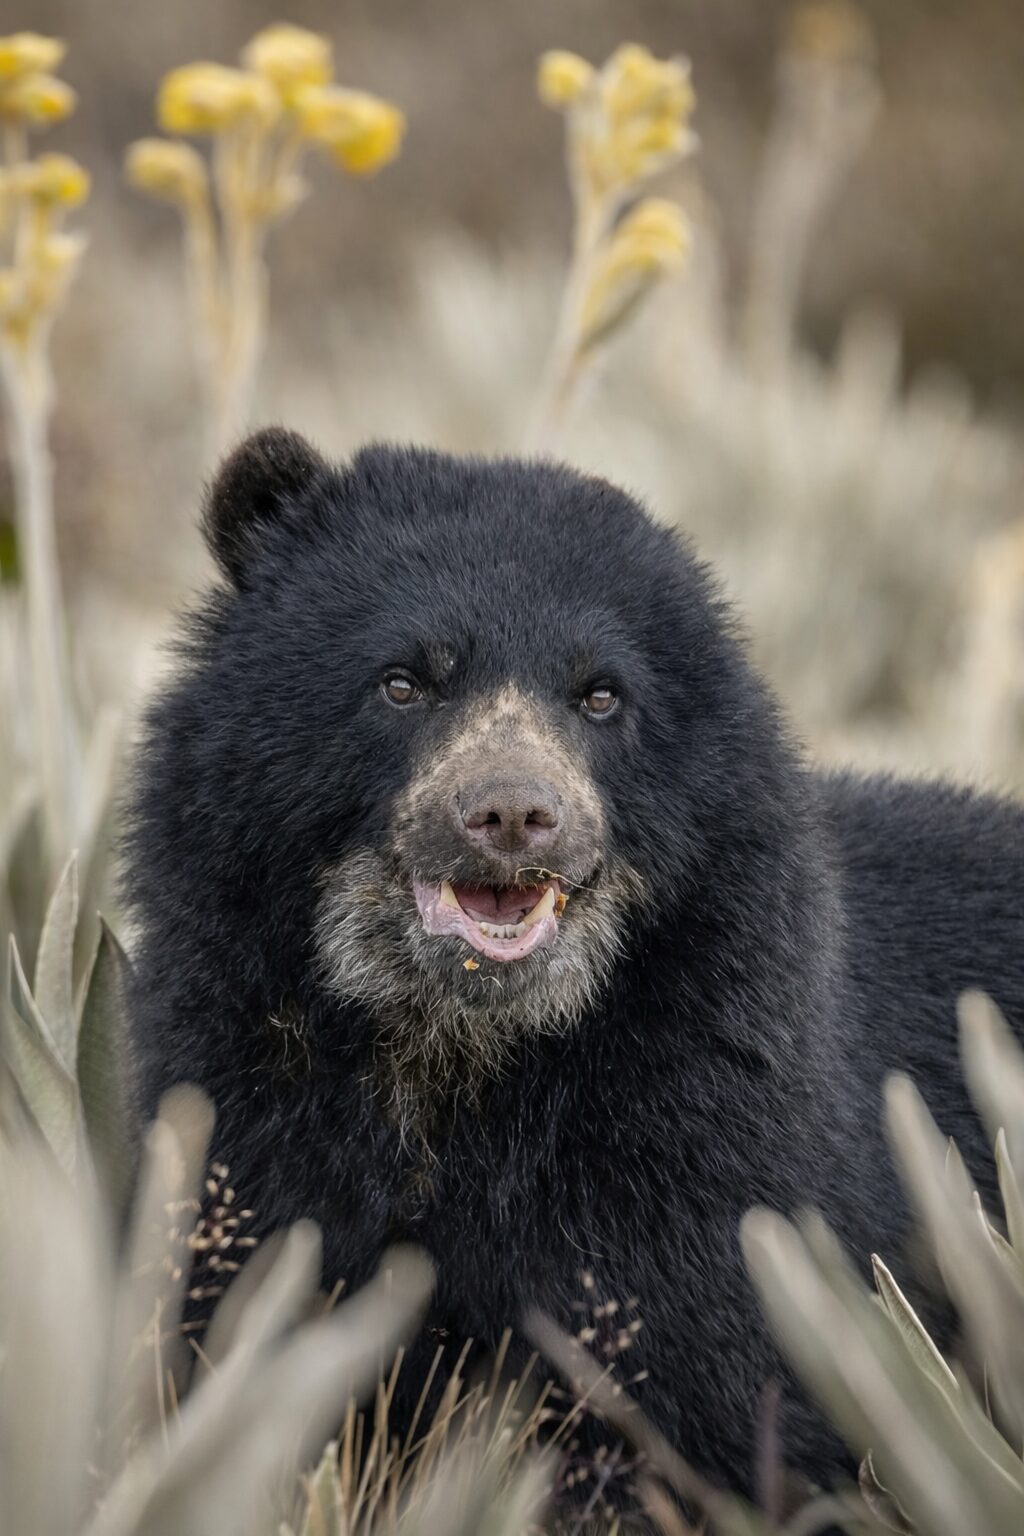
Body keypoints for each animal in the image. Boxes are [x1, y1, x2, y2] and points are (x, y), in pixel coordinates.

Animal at [123, 427, 1024, 1502]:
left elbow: (692, 1409)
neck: (456, 1054)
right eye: (403, 680)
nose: (513, 813)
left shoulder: (711, 1169)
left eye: (600, 695)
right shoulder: (245, 1111)